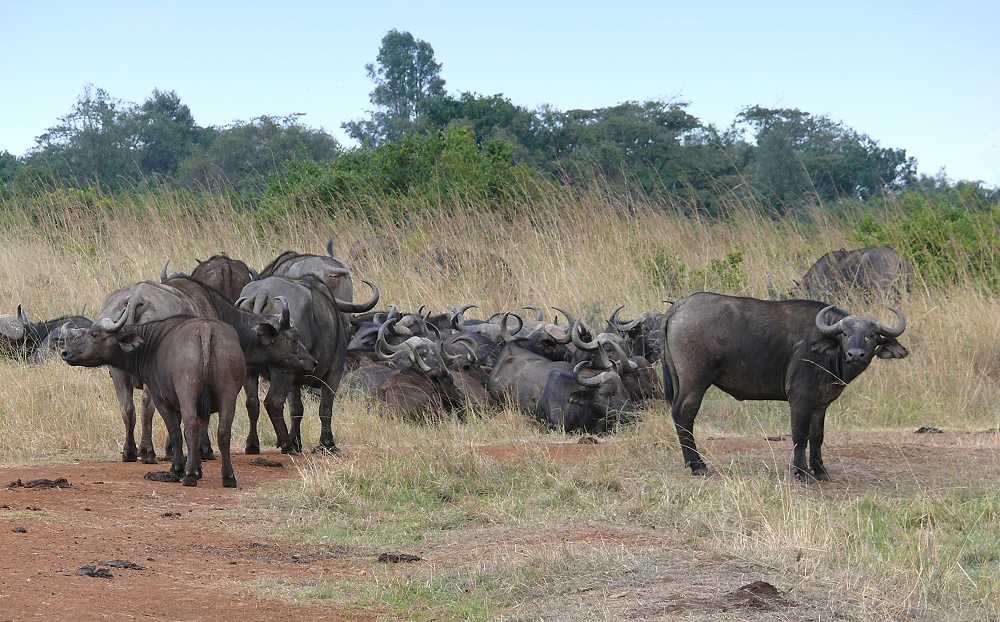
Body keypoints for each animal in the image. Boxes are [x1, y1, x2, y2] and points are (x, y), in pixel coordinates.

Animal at [61, 312, 245, 488]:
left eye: (94, 334)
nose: (65, 352)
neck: (152, 345)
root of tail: (206, 329)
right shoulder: (202, 409)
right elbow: (200, 431)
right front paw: (198, 469)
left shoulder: (161, 401)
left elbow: (175, 433)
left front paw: (179, 469)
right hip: (228, 394)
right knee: (223, 431)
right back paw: (228, 477)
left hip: (188, 393)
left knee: (190, 428)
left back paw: (189, 476)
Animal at [660, 294, 912, 482]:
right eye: (845, 334)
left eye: (871, 335)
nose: (856, 355)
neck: (827, 355)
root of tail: (681, 305)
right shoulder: (800, 399)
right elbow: (799, 434)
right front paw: (802, 472)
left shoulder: (820, 404)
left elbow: (817, 435)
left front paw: (820, 471)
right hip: (695, 381)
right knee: (684, 414)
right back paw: (698, 465)